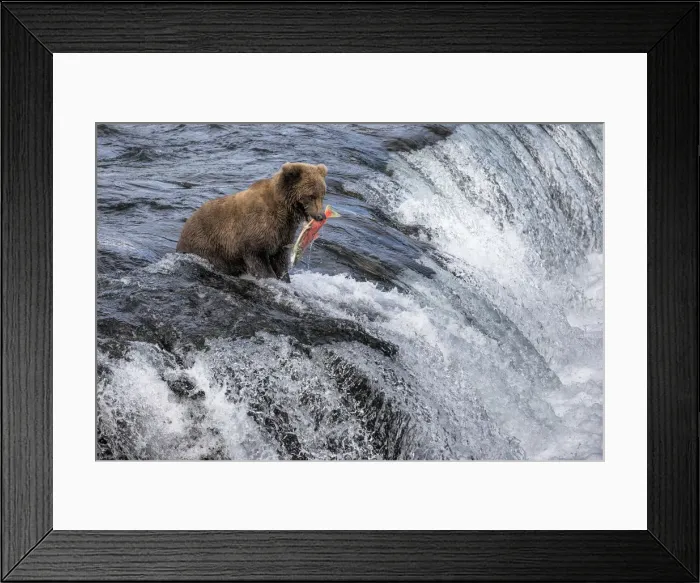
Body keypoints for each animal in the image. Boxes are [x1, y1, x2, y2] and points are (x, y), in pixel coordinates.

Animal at [176, 162, 327, 281]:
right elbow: (258, 258)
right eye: (311, 195)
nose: (321, 216)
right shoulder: (255, 231)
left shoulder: (283, 235)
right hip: (206, 245)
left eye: (322, 194)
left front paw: (284, 278)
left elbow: (280, 261)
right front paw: (270, 278)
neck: (284, 211)